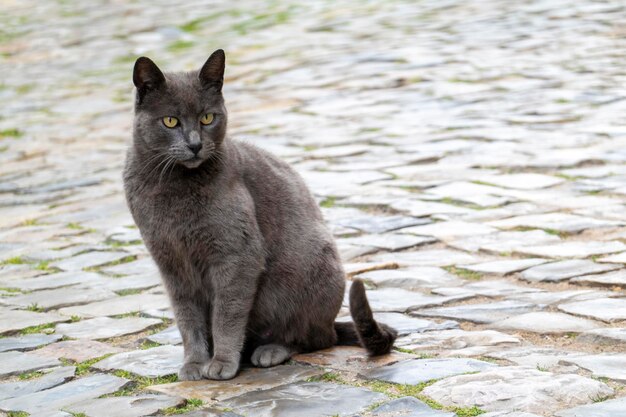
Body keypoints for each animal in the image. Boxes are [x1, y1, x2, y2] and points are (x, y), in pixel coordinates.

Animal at [123, 49, 394, 380]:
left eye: (207, 117)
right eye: (170, 121)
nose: (195, 144)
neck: (171, 188)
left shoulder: (238, 255)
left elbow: (226, 314)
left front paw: (221, 363)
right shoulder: (171, 263)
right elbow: (187, 319)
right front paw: (194, 364)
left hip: (311, 270)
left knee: (314, 338)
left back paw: (269, 350)